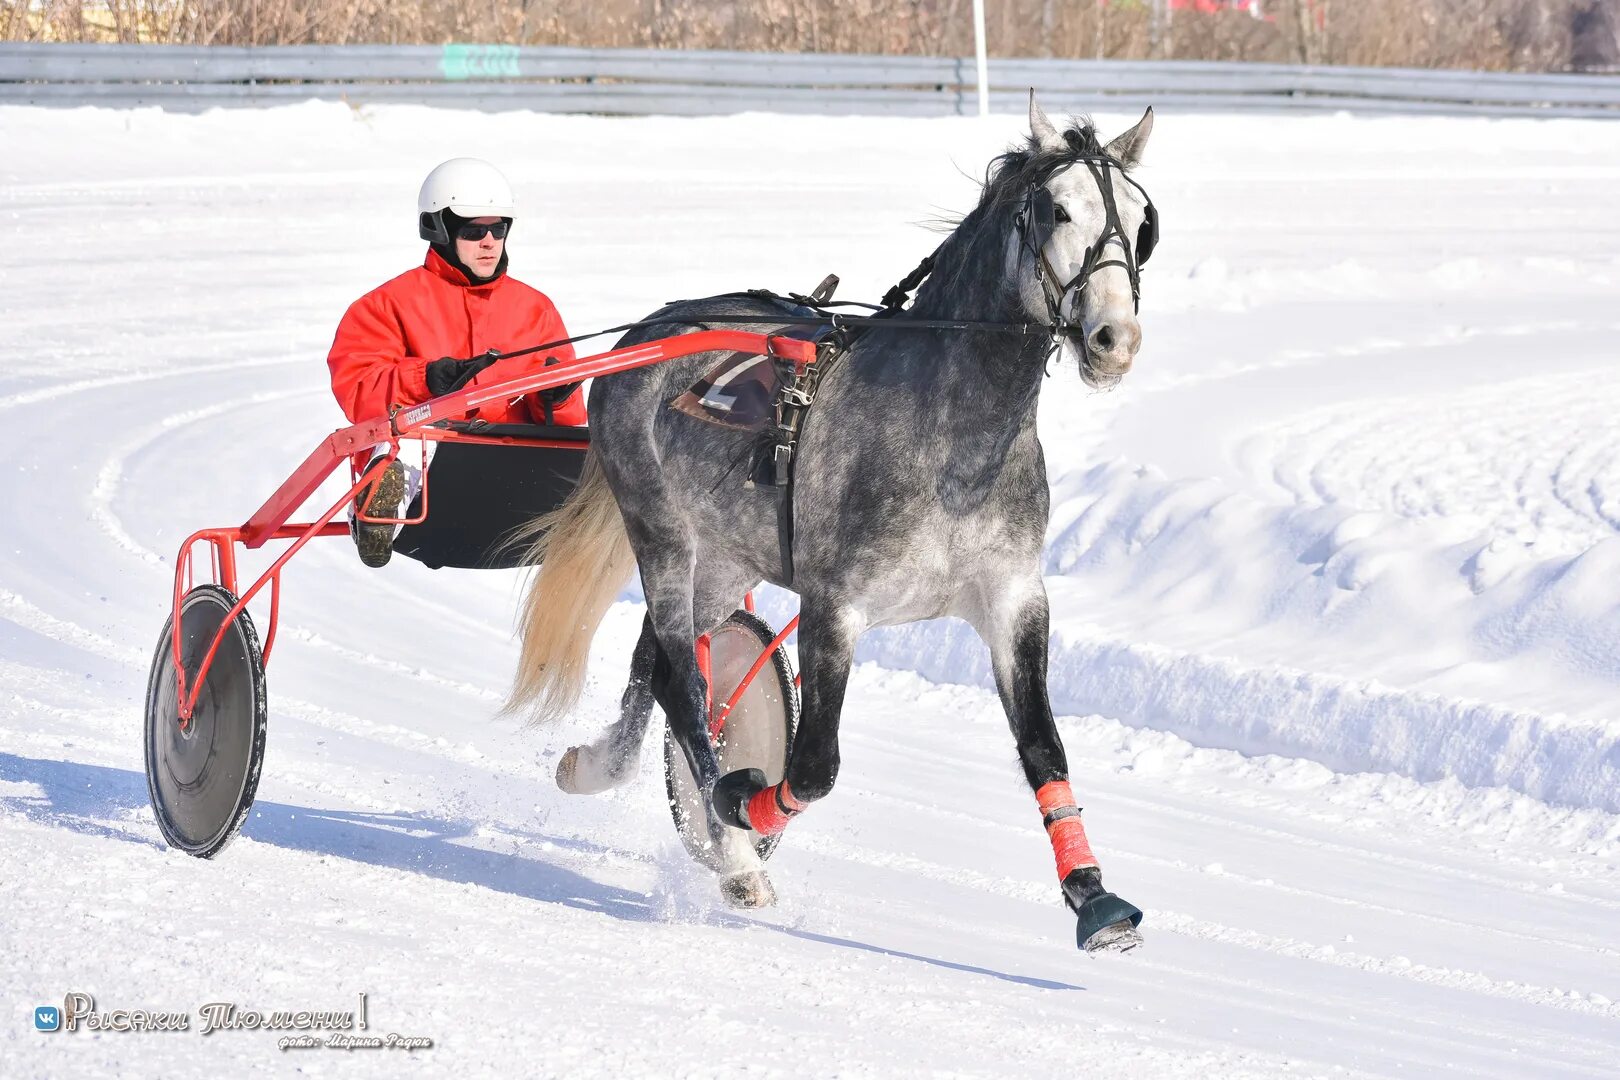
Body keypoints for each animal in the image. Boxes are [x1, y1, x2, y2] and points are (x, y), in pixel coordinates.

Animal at [511, 97, 1159, 952]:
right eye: (1057, 209)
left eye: (1144, 223)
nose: (1116, 341)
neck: (955, 432)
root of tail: (650, 330)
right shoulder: (834, 606)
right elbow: (813, 766)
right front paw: (740, 806)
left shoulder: (1014, 598)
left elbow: (1043, 747)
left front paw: (1092, 895)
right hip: (662, 532)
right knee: (685, 680)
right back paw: (732, 851)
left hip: (727, 558)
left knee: (657, 663)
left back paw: (600, 767)